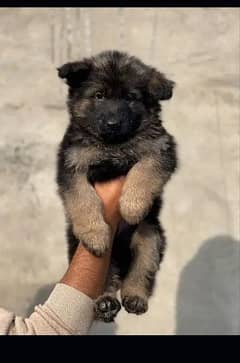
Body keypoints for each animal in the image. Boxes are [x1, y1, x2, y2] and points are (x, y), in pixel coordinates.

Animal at [55, 49, 176, 322]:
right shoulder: (72, 165)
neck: (113, 145)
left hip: (150, 238)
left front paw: (132, 207)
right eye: (99, 95)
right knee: (106, 281)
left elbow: (143, 172)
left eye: (131, 98)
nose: (112, 123)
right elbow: (83, 199)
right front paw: (95, 234)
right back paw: (105, 302)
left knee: (141, 272)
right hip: (84, 249)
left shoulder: (160, 150)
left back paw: (134, 297)